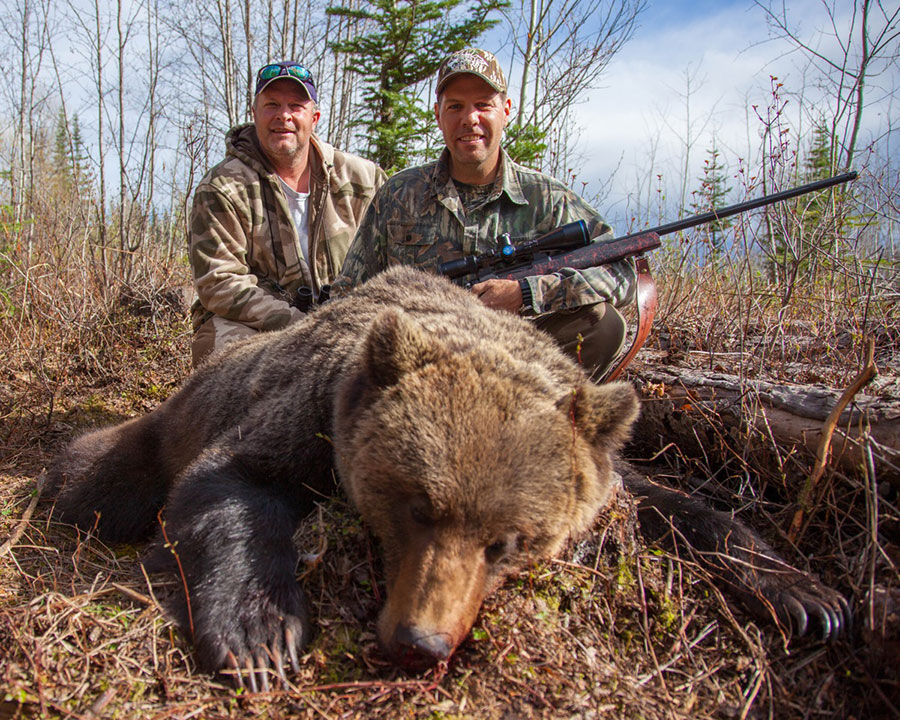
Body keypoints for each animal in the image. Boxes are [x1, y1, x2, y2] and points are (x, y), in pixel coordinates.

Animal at [47, 264, 852, 688]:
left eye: (511, 542)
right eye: (414, 506)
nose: (420, 644)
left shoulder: (602, 467)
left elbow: (676, 506)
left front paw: (808, 597)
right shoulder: (311, 410)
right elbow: (228, 483)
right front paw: (260, 637)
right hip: (166, 428)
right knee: (104, 482)